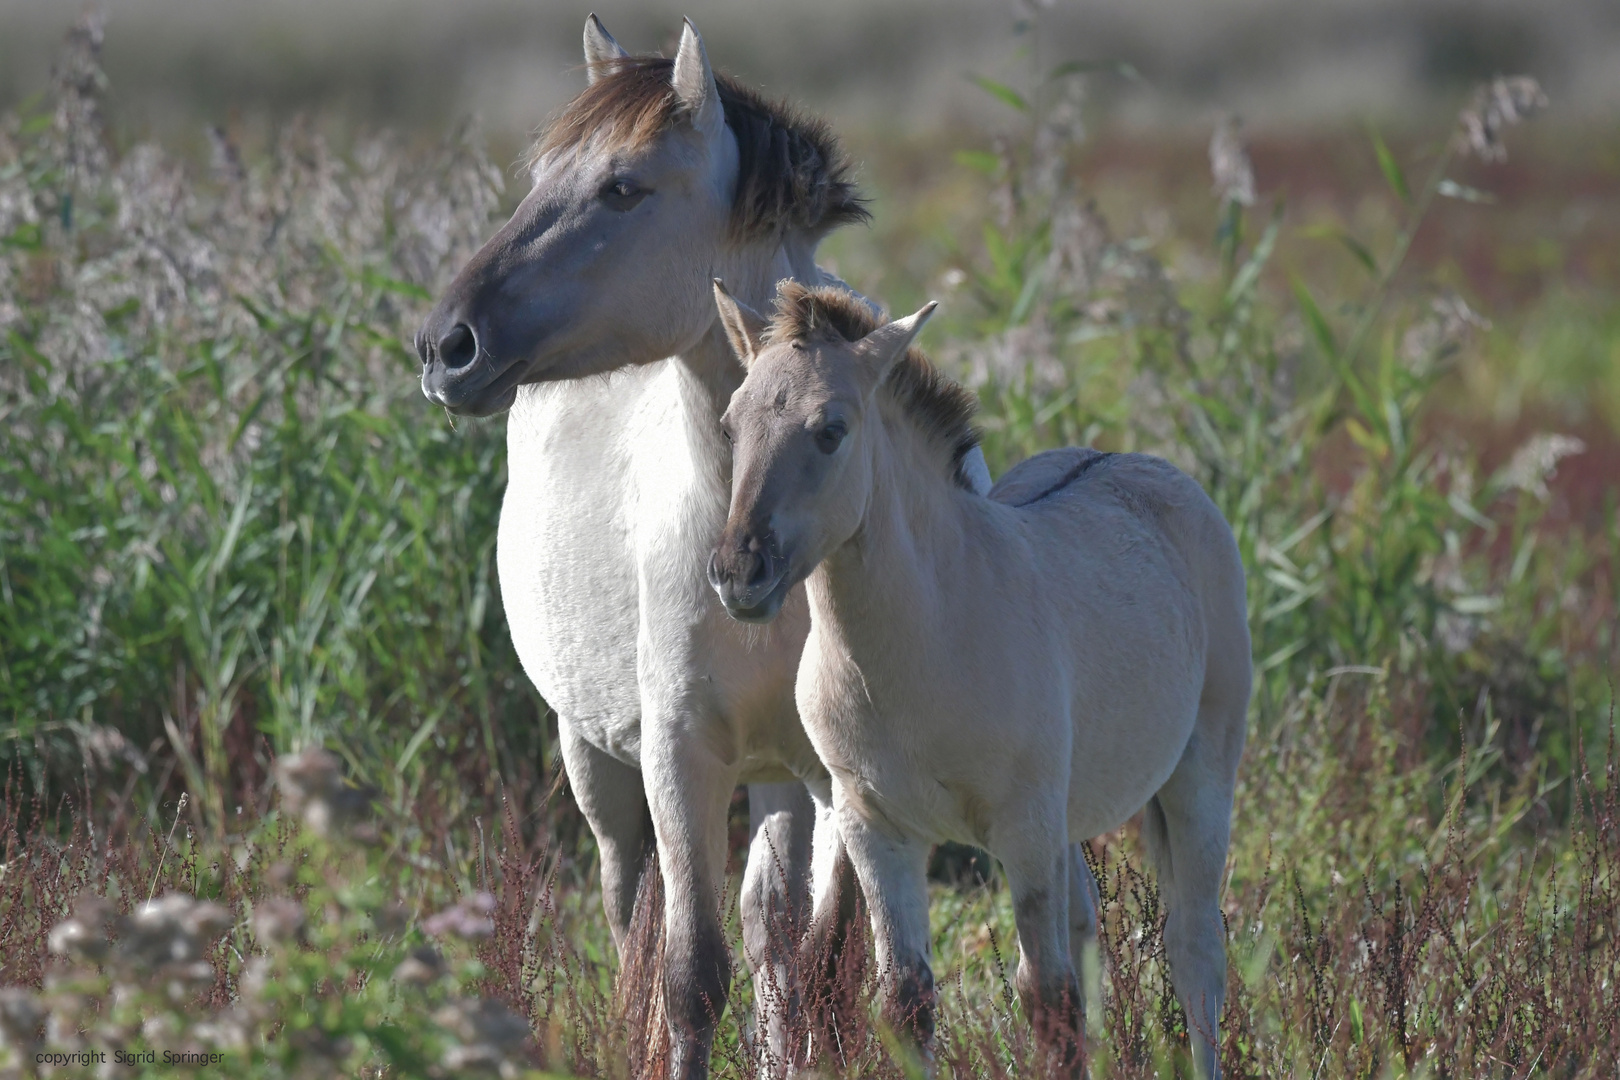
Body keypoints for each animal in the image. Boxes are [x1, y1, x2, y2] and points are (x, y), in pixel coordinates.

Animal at [417, 16, 991, 1080]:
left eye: (622, 187)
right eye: (539, 178)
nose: (446, 346)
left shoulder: (841, 774)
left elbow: (810, 963)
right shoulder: (680, 755)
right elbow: (689, 976)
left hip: (779, 777)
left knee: (776, 933)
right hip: (598, 764)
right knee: (630, 908)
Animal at [709, 278, 1250, 1075]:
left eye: (831, 430)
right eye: (728, 426)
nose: (739, 572)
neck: (923, 648)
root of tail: (1135, 461)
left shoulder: (1023, 828)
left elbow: (1049, 1001)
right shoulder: (878, 829)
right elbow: (907, 1001)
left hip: (1199, 776)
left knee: (1194, 948)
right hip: (1068, 822)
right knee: (1092, 934)